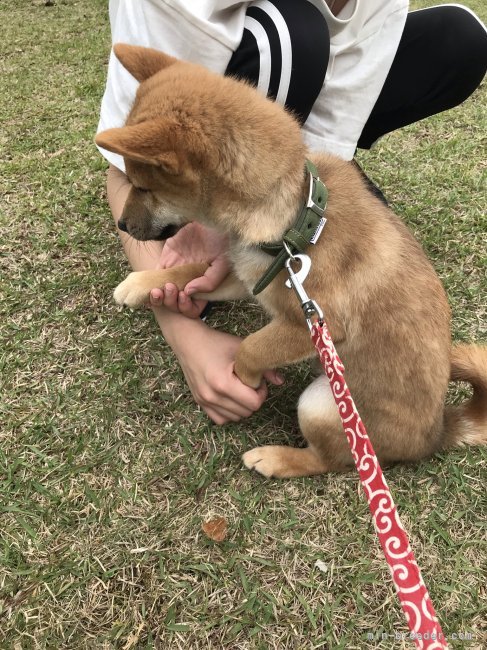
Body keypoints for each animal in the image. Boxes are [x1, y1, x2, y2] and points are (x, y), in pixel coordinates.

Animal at [94, 44, 484, 476]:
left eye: (144, 187)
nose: (122, 223)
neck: (295, 219)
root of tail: (436, 434)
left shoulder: (311, 322)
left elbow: (252, 346)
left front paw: (245, 379)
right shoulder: (251, 275)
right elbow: (195, 270)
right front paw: (142, 283)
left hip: (323, 404)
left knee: (328, 461)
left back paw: (277, 458)